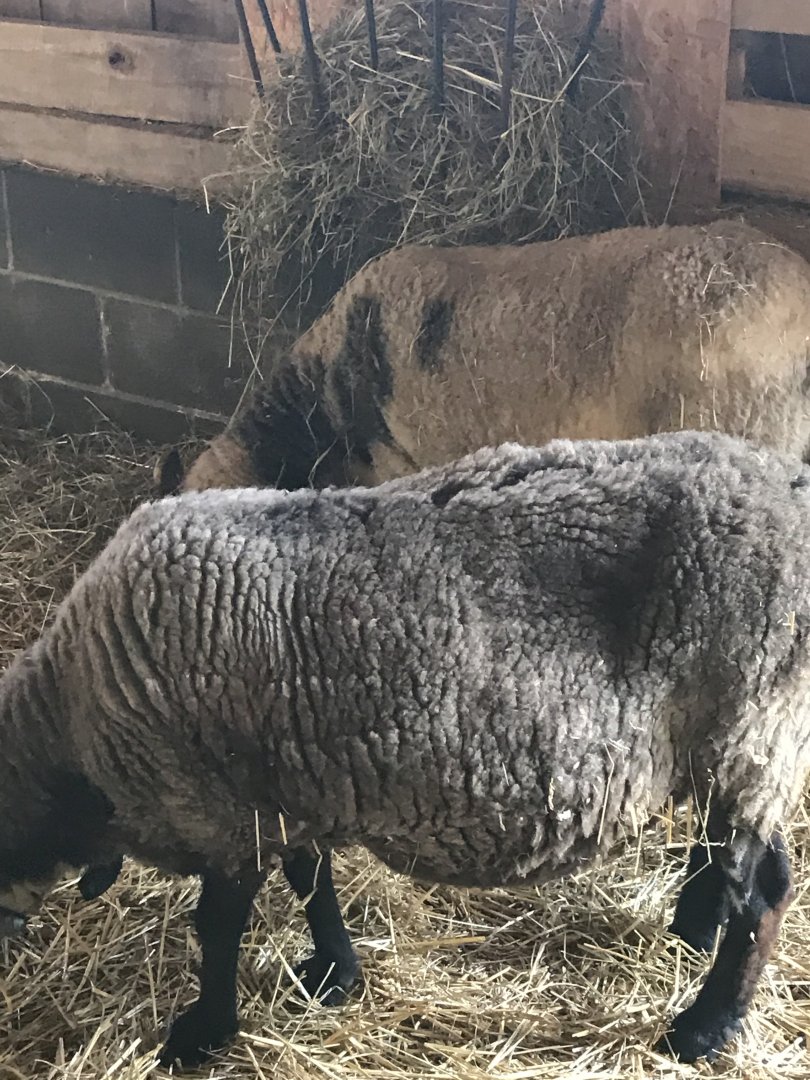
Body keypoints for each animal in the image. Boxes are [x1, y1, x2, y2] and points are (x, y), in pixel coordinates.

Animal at [2, 429, 809, 1069]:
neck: (70, 728)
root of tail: (786, 482)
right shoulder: (291, 790)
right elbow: (312, 879)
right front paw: (334, 974)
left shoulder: (227, 816)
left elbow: (220, 927)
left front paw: (203, 1032)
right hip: (731, 742)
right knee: (728, 853)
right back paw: (694, 927)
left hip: (752, 720)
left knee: (766, 890)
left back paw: (704, 1028)